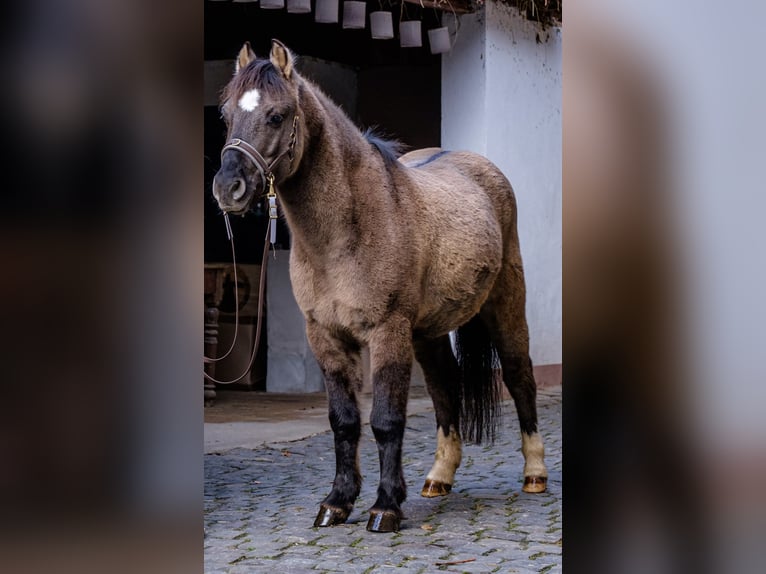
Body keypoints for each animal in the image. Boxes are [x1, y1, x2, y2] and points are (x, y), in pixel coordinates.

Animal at [213, 40, 548, 536]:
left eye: (276, 115)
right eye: (225, 114)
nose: (228, 189)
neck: (349, 229)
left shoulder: (388, 331)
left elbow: (386, 419)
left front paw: (385, 507)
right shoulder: (325, 336)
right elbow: (344, 421)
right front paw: (337, 502)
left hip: (505, 306)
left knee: (519, 376)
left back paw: (534, 474)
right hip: (428, 332)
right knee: (444, 387)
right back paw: (438, 478)